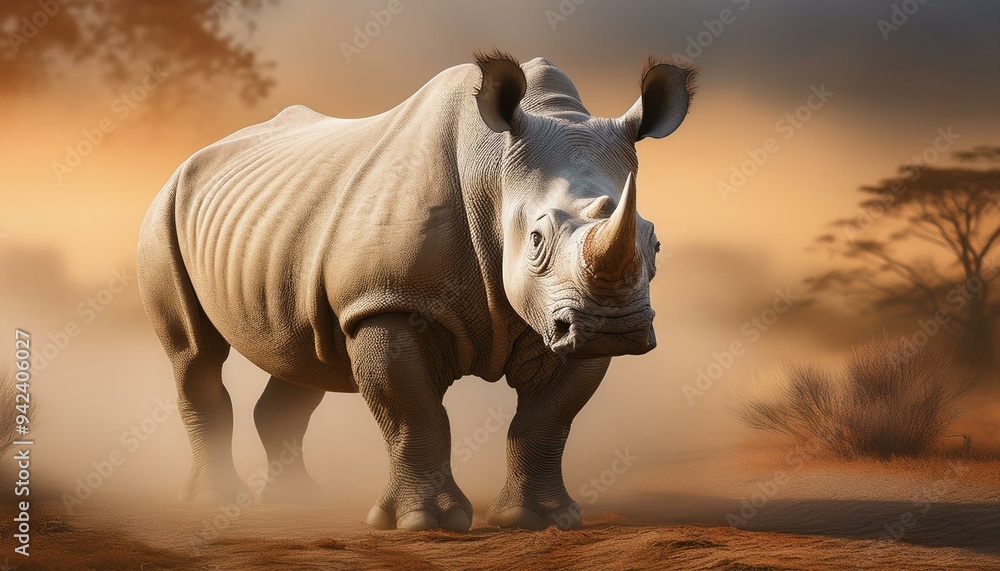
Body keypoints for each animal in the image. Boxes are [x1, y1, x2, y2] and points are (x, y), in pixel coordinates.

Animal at [137, 51, 696, 532]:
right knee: (195, 355)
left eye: (655, 242)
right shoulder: (386, 302)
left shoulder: (563, 319)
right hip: (163, 210)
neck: (495, 173)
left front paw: (543, 520)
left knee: (299, 357)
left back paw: (300, 500)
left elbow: (547, 419)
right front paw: (426, 523)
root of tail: (187, 162)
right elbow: (415, 413)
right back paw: (215, 501)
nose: (616, 327)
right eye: (536, 239)